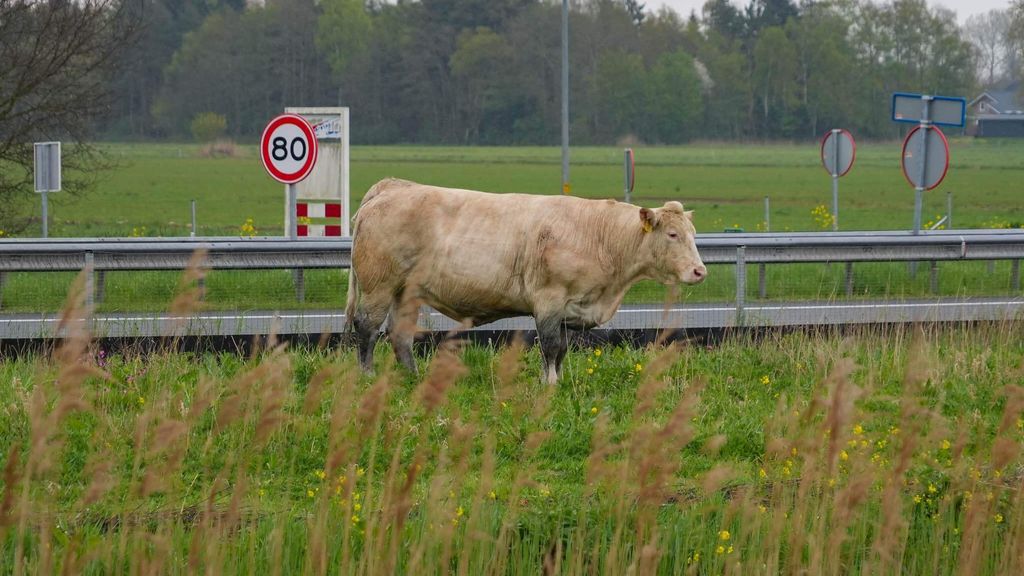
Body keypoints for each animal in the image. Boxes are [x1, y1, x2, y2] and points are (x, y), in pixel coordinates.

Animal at [344, 178, 706, 384]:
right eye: (672, 234)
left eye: (693, 233)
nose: (700, 271)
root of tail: (393, 187)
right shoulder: (549, 301)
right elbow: (550, 345)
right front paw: (549, 384)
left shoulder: (568, 309)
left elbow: (561, 350)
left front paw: (556, 379)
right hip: (379, 286)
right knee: (367, 328)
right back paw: (367, 374)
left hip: (407, 292)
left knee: (400, 334)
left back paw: (412, 376)